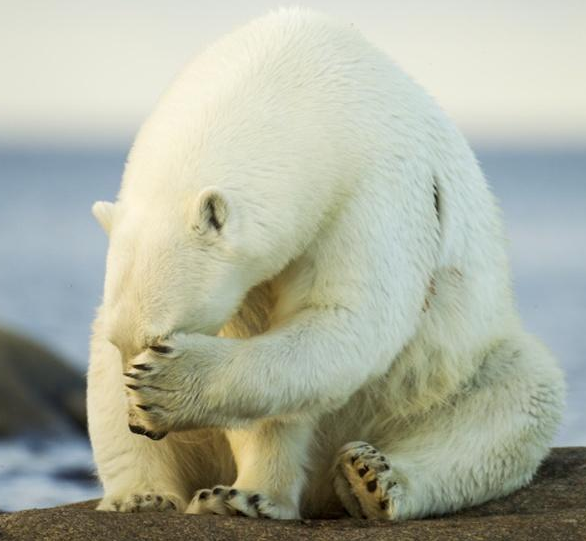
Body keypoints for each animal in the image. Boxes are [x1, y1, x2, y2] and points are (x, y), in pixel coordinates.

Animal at [86, 6, 560, 516]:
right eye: (124, 342)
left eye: (160, 340)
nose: (140, 425)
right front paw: (235, 496)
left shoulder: (373, 185)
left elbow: (348, 317)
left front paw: (241, 491)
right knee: (102, 389)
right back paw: (144, 495)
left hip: (449, 371)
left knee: (514, 402)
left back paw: (371, 479)